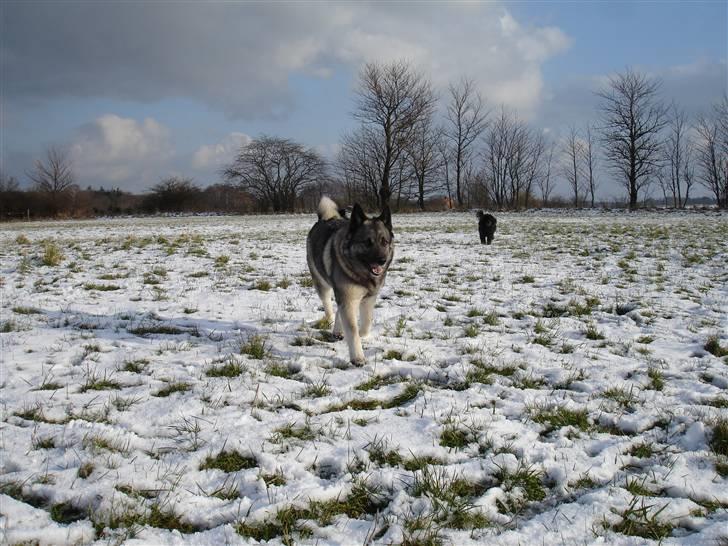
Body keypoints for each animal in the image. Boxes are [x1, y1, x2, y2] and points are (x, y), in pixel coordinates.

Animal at [306, 197, 396, 366]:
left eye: (384, 242)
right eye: (367, 242)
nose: (382, 260)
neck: (361, 272)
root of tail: (326, 218)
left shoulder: (367, 299)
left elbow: (366, 323)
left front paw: (362, 335)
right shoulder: (348, 298)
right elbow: (352, 330)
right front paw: (358, 357)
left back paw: (338, 330)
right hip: (322, 284)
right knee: (329, 307)